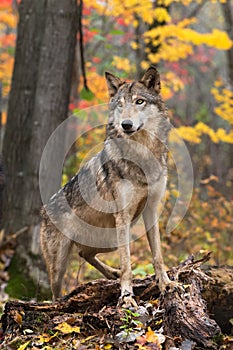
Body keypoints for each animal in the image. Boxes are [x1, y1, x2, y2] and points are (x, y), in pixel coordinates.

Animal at [40, 66, 173, 306]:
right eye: (120, 104)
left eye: (139, 101)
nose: (126, 125)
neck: (142, 155)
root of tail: (43, 208)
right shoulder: (123, 216)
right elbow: (128, 263)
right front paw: (127, 298)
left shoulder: (151, 210)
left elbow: (157, 256)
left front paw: (166, 285)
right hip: (61, 262)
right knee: (56, 290)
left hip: (108, 239)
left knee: (84, 253)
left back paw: (112, 273)